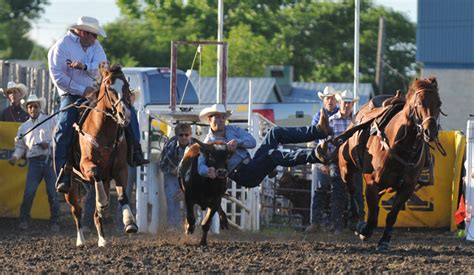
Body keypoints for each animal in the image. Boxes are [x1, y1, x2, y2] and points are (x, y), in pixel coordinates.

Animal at [64, 64, 137, 248]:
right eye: (109, 87)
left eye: (126, 86)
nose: (124, 114)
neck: (103, 131)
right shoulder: (86, 164)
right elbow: (96, 172)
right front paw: (102, 201)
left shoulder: (120, 169)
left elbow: (122, 195)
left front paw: (130, 222)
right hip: (70, 185)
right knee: (76, 210)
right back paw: (81, 240)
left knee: (96, 215)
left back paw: (103, 239)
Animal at [338, 77, 442, 252]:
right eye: (419, 103)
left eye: (439, 103)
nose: (431, 132)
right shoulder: (372, 183)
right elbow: (372, 216)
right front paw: (364, 230)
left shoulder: (407, 188)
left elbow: (391, 216)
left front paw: (384, 241)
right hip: (346, 167)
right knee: (350, 189)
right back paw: (353, 219)